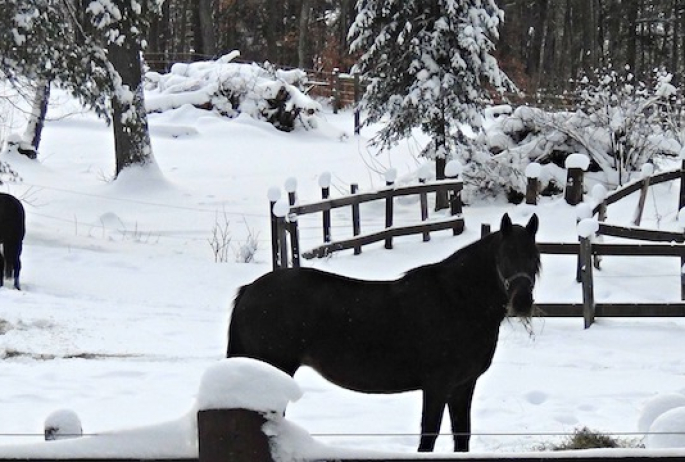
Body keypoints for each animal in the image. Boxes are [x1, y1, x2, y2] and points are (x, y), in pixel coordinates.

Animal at [227, 213, 536, 452]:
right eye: (505, 256)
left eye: (534, 257)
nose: (522, 302)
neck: (456, 300)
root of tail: (249, 290)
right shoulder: (437, 386)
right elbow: (428, 437)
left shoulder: (462, 387)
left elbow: (462, 436)